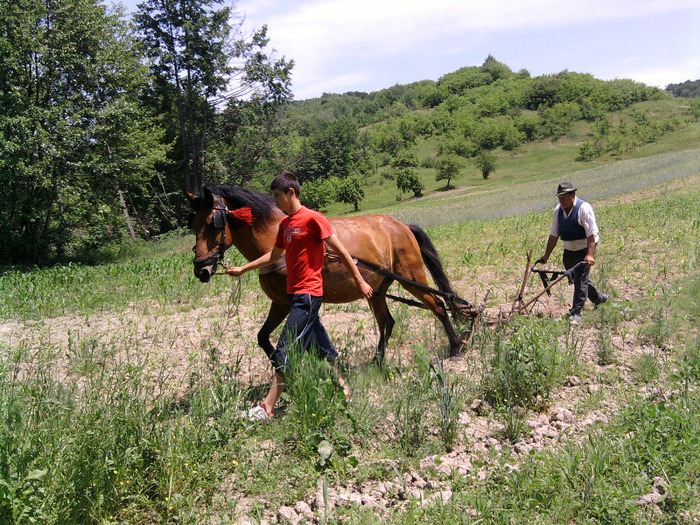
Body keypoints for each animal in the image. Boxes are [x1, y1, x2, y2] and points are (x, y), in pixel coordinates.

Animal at [187, 184, 464, 360]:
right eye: (193, 224)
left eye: (213, 223)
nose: (201, 269)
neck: (278, 241)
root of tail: (401, 225)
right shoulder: (280, 303)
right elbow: (263, 337)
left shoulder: (292, 303)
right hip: (376, 291)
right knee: (387, 321)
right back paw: (377, 360)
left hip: (412, 278)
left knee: (439, 305)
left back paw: (456, 347)